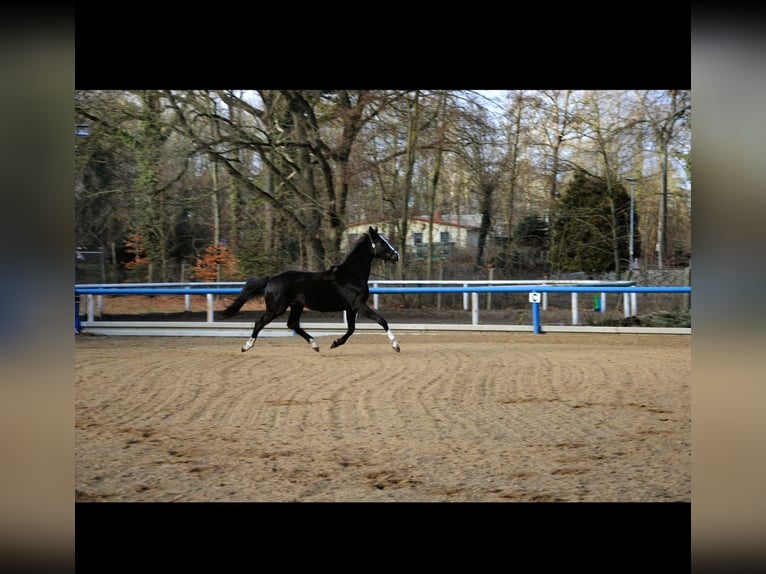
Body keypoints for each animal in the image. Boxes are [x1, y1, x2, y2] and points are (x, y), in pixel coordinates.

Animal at [220, 226, 401, 353]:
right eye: (381, 242)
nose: (396, 255)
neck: (351, 275)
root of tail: (271, 279)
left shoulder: (351, 308)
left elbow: (351, 329)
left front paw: (335, 343)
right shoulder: (358, 305)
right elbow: (381, 320)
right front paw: (396, 345)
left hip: (296, 306)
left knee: (292, 324)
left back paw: (315, 345)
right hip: (277, 308)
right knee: (260, 323)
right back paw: (246, 346)